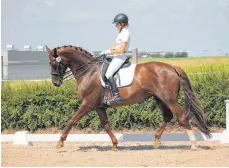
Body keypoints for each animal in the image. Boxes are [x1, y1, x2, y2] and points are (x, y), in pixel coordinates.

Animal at [44, 45, 211, 151]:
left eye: (53, 62)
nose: (55, 83)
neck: (88, 71)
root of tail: (172, 67)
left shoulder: (87, 104)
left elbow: (71, 120)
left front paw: (60, 142)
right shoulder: (99, 106)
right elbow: (106, 125)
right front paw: (115, 144)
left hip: (169, 99)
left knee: (182, 117)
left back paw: (194, 144)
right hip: (160, 99)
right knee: (168, 117)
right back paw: (156, 140)